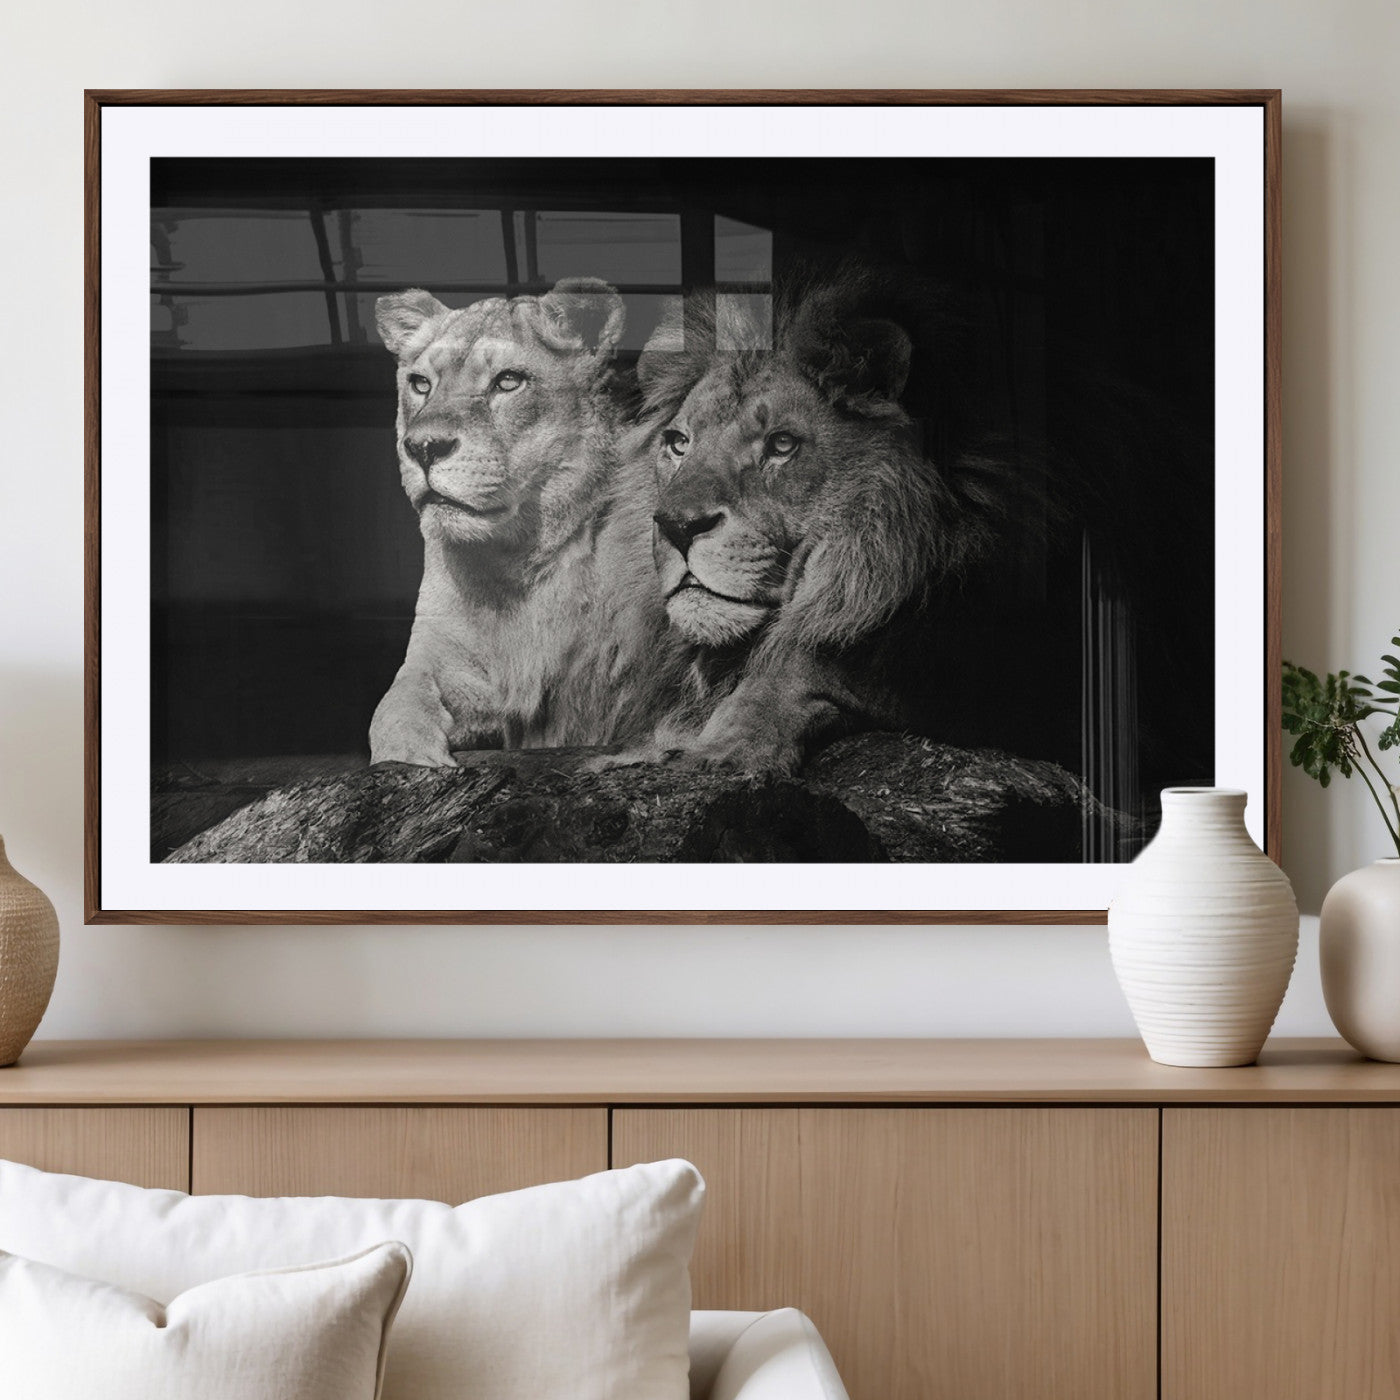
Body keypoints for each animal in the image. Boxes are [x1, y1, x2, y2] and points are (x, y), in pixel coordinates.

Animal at [369, 278, 682, 767]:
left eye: (508, 381)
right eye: (420, 384)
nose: (422, 447)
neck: (514, 563)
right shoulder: (439, 654)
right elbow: (394, 705)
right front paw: (412, 755)